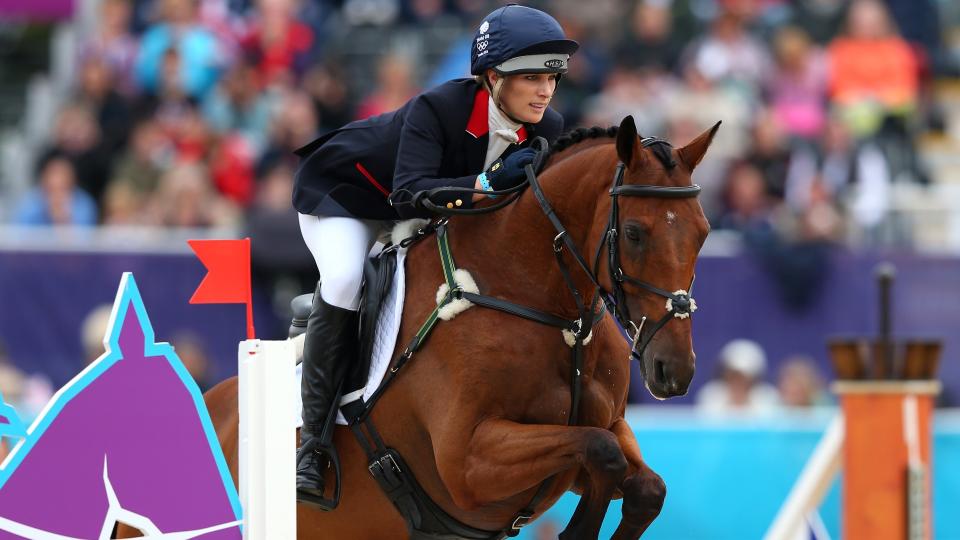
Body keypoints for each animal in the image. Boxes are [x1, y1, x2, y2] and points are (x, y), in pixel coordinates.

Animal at [202, 116, 716, 536]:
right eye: (633, 233)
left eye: (704, 233)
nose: (675, 371)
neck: (555, 315)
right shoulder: (468, 461)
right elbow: (600, 450)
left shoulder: (609, 426)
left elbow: (645, 485)